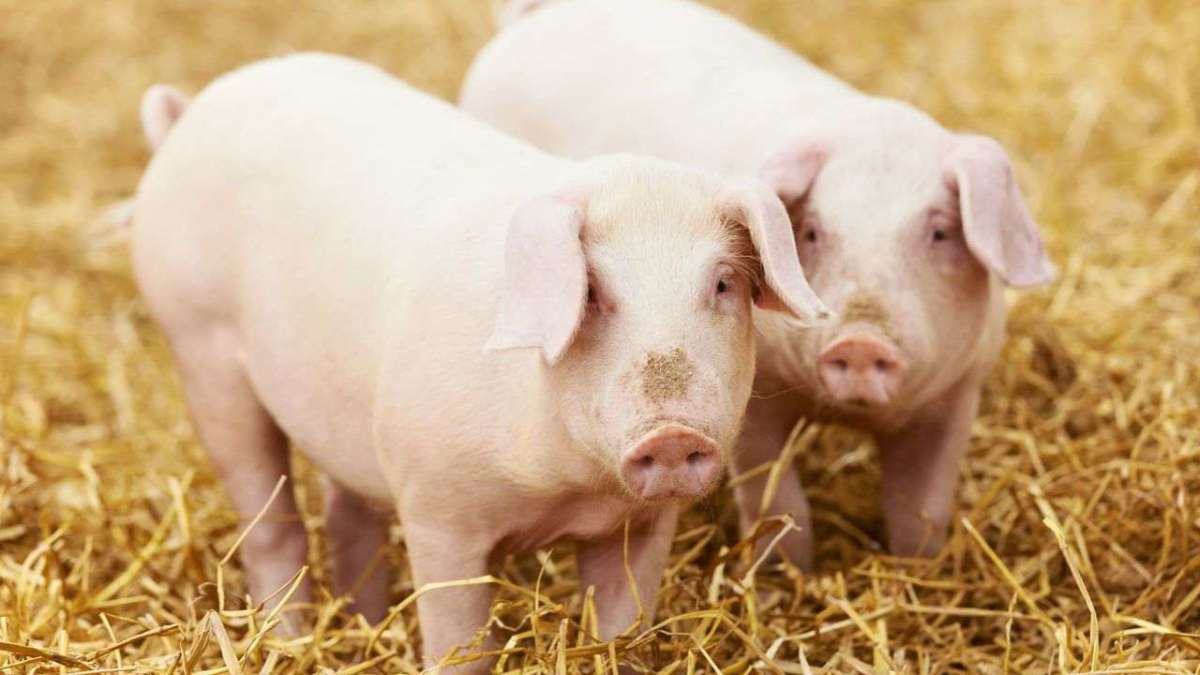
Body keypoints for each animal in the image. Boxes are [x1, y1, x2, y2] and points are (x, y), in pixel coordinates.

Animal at [131, 52, 830, 670]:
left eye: (722, 283)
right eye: (592, 290)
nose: (673, 434)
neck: (567, 487)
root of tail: (190, 114)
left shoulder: (641, 524)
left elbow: (621, 632)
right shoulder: (437, 509)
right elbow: (460, 646)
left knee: (346, 515)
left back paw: (363, 623)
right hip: (201, 349)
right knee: (272, 524)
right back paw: (289, 638)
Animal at [461, 0, 1055, 568]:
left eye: (940, 231)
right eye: (812, 231)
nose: (860, 341)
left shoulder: (957, 396)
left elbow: (921, 514)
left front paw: (919, 569)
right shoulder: (754, 398)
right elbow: (778, 503)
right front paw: (782, 574)